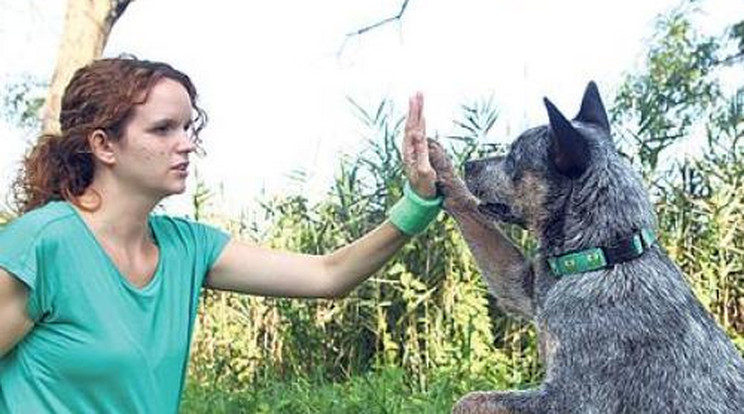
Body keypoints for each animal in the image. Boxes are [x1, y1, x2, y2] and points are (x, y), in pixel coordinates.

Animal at [424, 82, 744, 412]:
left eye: (513, 158)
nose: (468, 164)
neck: (600, 257)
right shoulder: (524, 288)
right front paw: (438, 166)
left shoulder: (573, 399)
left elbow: (471, 399)